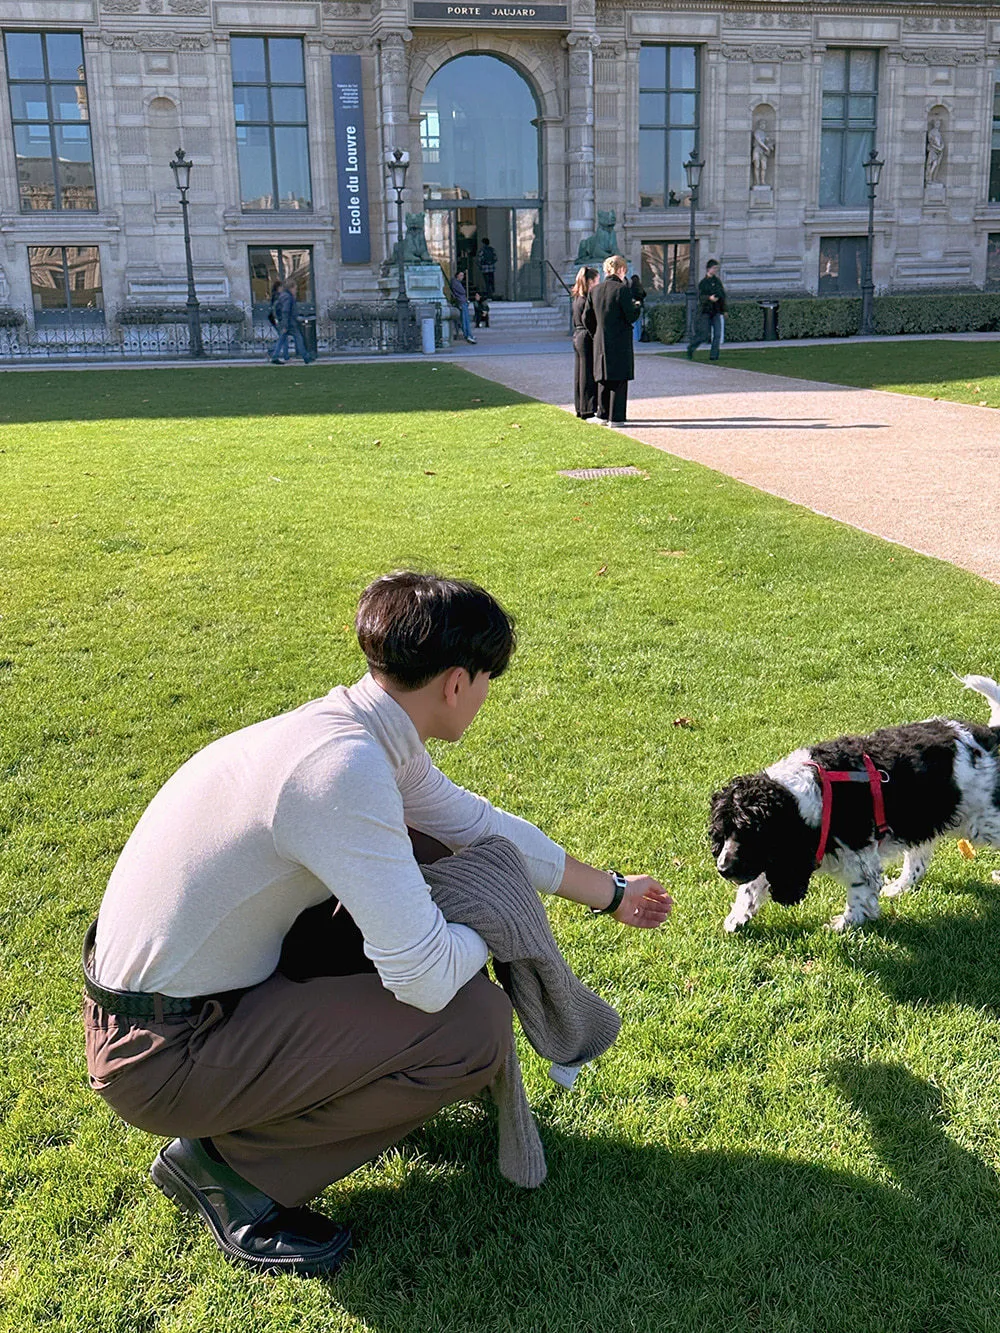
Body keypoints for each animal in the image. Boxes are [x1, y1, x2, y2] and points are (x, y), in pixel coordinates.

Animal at [714, 671, 1000, 933]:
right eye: (723, 833)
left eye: (752, 833)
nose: (723, 869)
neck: (807, 796)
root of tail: (989, 735)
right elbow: (753, 885)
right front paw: (737, 918)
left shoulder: (858, 857)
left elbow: (860, 893)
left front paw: (843, 925)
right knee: (918, 862)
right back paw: (898, 888)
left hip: (982, 822)